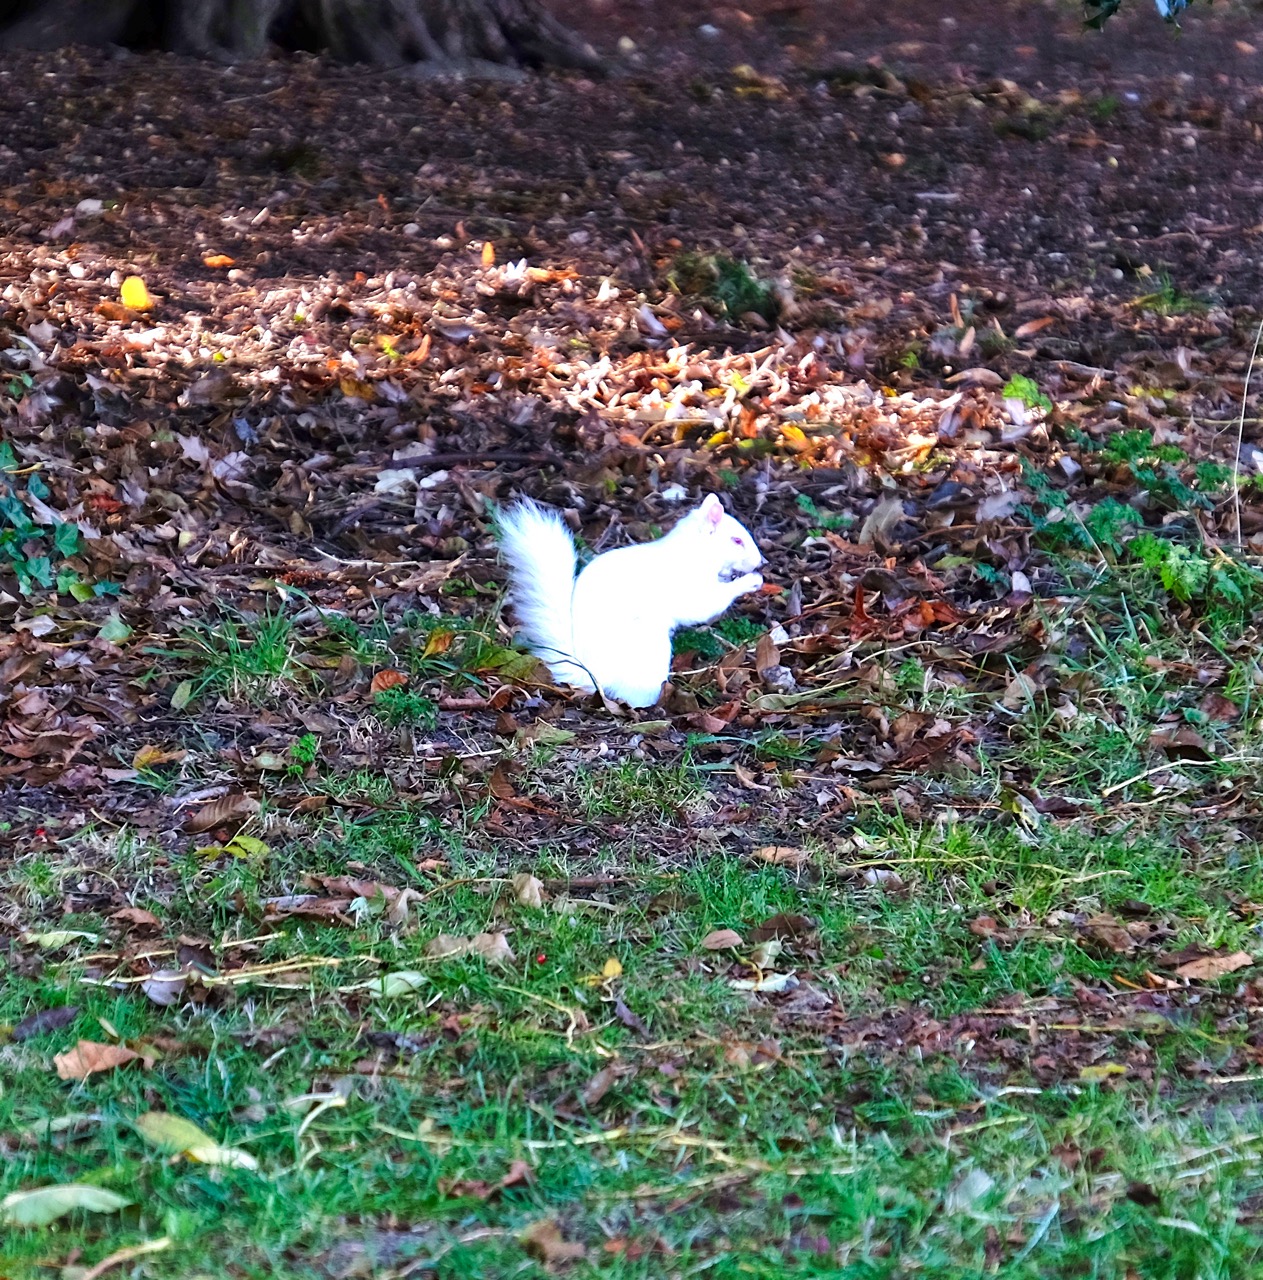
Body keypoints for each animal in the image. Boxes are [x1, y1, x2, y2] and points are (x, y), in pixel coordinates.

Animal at [497, 494, 765, 707]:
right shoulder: (690, 586)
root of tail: (593, 674)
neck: (695, 551)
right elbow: (706, 605)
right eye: (736, 540)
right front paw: (751, 581)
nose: (761, 562)